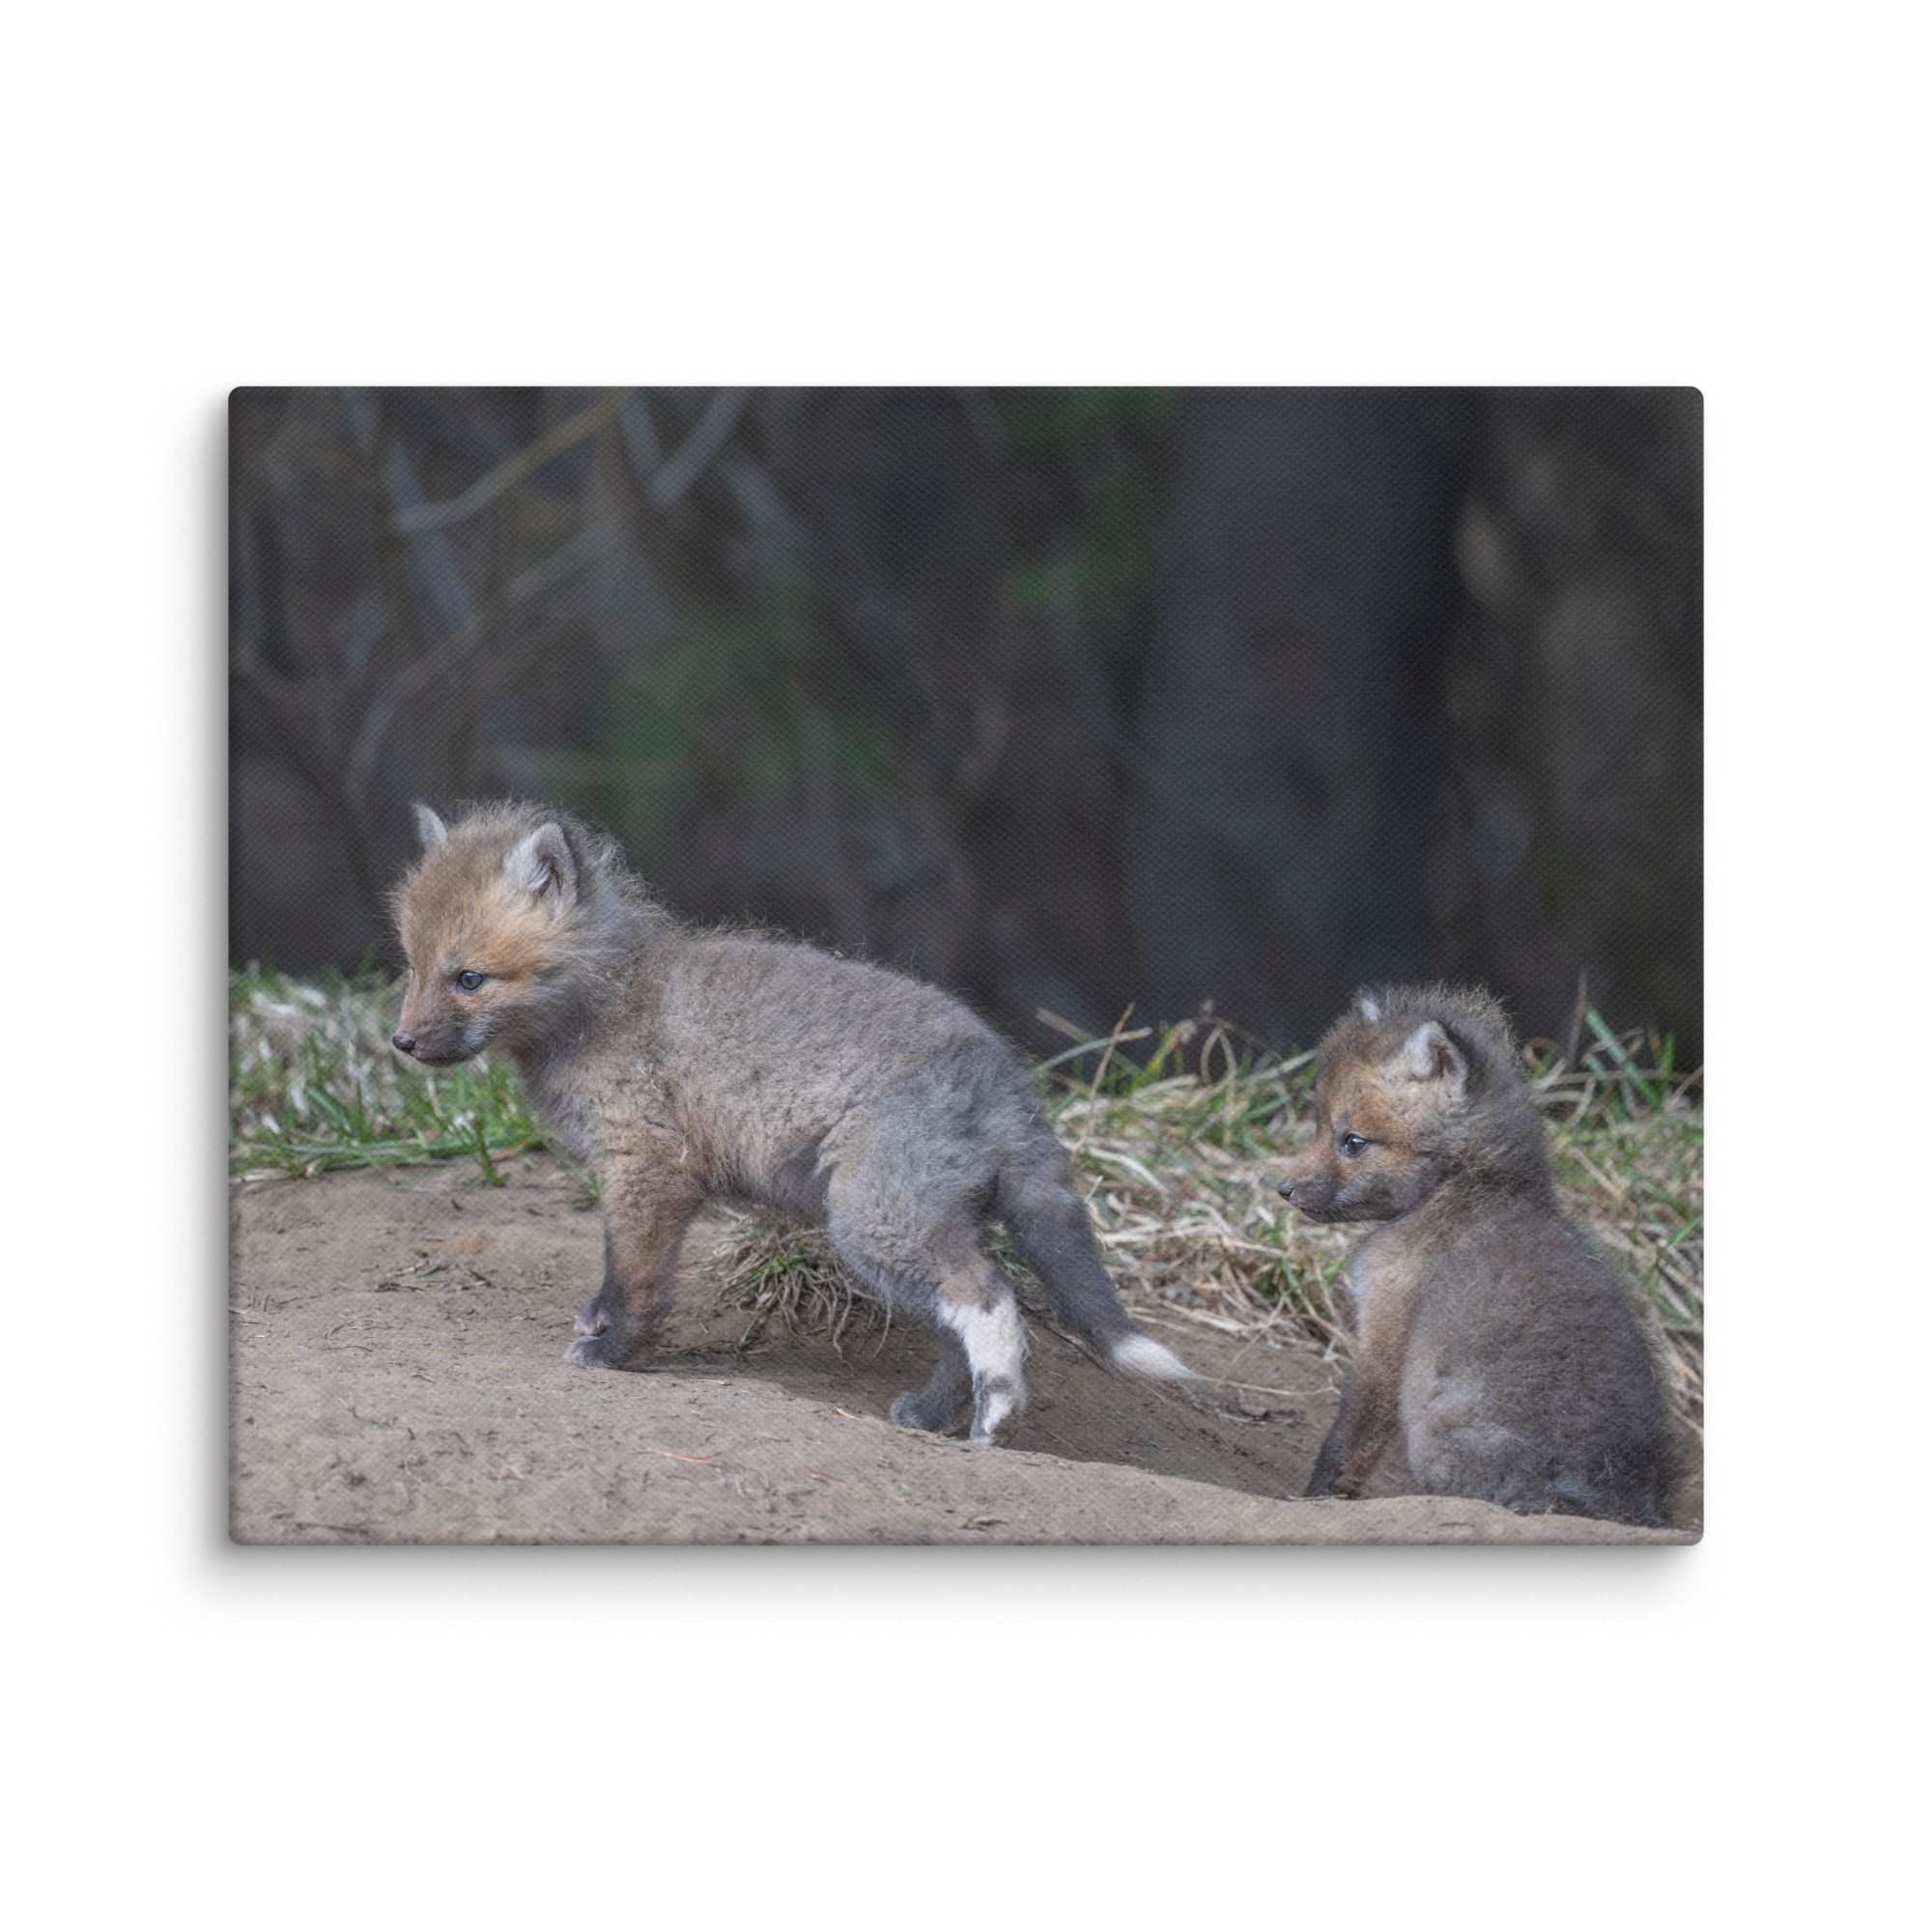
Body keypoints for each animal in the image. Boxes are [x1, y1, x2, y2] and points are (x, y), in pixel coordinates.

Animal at [389, 800, 1194, 1443]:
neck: (606, 1000)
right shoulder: (640, 1175)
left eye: (469, 978)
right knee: (954, 1328)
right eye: (413, 967)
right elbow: (618, 1267)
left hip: (874, 1224)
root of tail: (1007, 1078)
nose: (401, 1043)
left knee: (988, 1296)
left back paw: (998, 1413)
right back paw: (935, 1417)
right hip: (912, 1230)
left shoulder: (649, 1165)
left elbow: (637, 1277)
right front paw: (601, 1322)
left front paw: (617, 1353)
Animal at [1279, 984, 1669, 1526]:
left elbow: (1348, 1439)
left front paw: (1313, 1501)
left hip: (1432, 1436)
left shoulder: (1386, 1327)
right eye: (1318, 1126)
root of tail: (1618, 1503)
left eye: (1353, 1142)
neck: (1465, 1186)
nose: (1284, 1189)